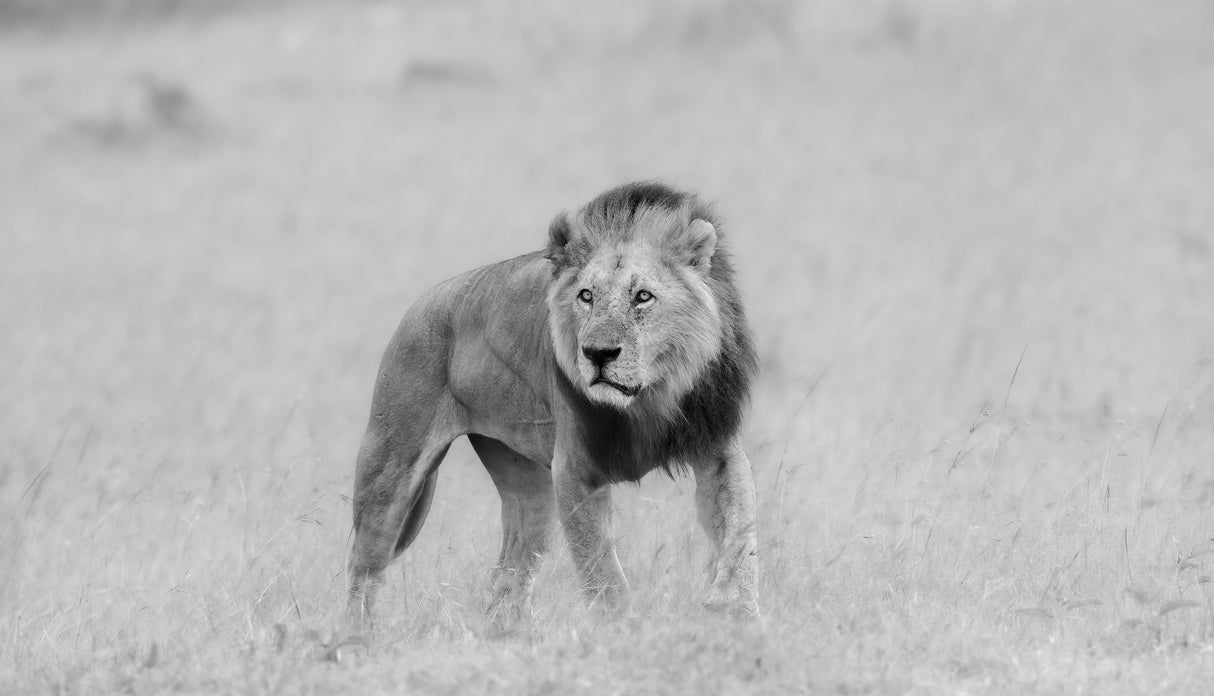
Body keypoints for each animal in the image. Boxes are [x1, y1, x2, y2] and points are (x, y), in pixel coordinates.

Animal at [347, 181, 759, 625]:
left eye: (643, 297)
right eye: (586, 296)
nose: (598, 353)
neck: (649, 396)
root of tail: (423, 302)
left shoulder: (717, 450)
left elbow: (740, 537)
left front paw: (737, 613)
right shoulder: (575, 471)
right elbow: (602, 571)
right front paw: (622, 629)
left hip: (526, 488)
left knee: (509, 575)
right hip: (391, 469)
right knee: (364, 567)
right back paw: (356, 634)